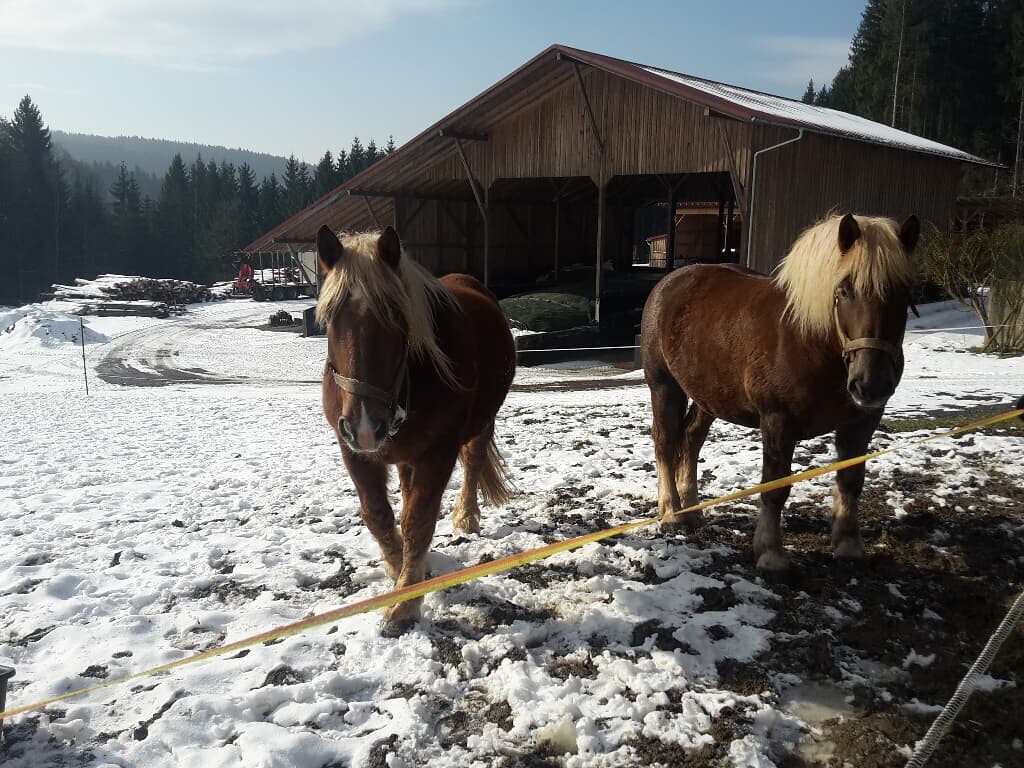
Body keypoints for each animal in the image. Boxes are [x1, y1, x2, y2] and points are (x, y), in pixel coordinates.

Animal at [315, 225, 516, 634]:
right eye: (329, 318)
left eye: (395, 315)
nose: (365, 426)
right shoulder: (352, 451)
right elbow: (378, 514)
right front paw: (399, 570)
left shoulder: (438, 451)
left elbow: (419, 521)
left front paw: (406, 602)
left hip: (481, 423)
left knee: (473, 463)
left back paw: (466, 516)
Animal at [638, 215, 921, 573]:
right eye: (844, 290)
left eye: (904, 292)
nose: (871, 383)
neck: (810, 342)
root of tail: (672, 281)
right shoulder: (778, 420)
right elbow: (775, 487)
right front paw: (771, 553)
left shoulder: (862, 422)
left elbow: (851, 480)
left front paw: (848, 545)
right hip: (664, 386)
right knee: (666, 442)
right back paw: (672, 514)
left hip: (709, 396)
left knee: (690, 440)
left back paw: (692, 511)